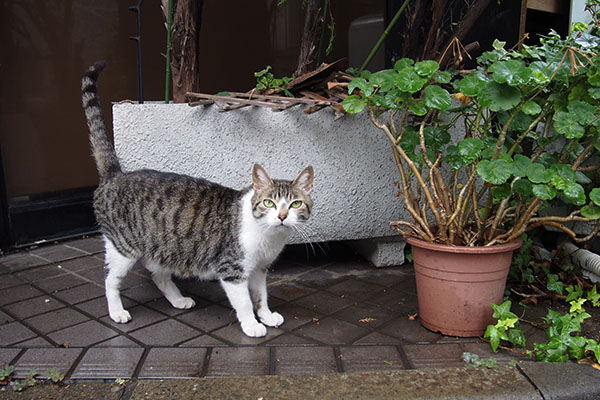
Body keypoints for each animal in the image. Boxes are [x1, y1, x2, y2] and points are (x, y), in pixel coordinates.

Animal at [82, 61, 314, 338]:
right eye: (269, 202)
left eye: (295, 204)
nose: (281, 216)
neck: (268, 237)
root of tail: (115, 174)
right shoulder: (232, 269)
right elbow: (245, 302)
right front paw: (252, 325)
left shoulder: (259, 269)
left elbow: (261, 296)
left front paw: (266, 316)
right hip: (123, 248)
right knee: (110, 281)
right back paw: (117, 311)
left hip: (164, 247)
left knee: (159, 275)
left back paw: (178, 299)